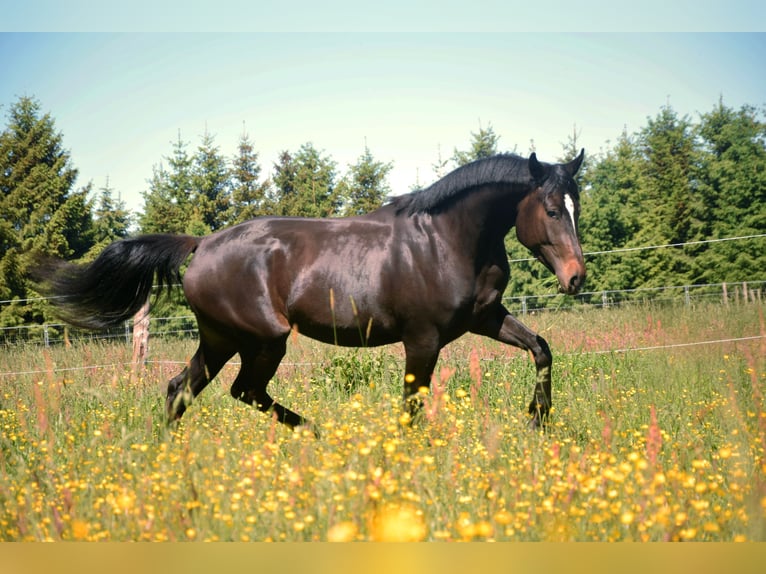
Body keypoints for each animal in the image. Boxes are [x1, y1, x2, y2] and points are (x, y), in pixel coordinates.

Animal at [37, 150, 586, 434]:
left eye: (577, 205)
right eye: (551, 210)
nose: (576, 278)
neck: (445, 240)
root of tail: (201, 244)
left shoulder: (484, 318)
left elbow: (541, 348)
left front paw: (537, 421)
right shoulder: (423, 339)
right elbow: (411, 406)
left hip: (220, 339)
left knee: (182, 390)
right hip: (262, 338)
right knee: (243, 390)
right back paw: (317, 434)